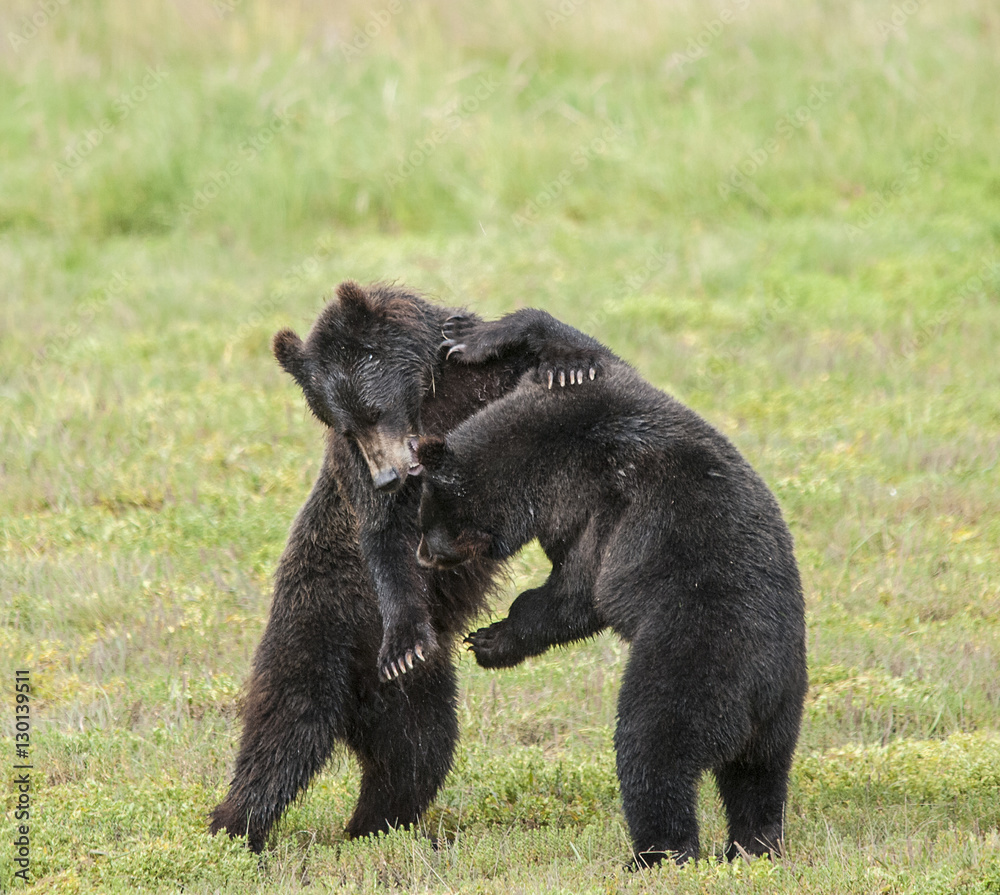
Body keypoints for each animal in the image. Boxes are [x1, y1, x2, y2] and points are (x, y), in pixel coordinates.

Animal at [210, 282, 610, 852]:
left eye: (373, 410)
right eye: (344, 426)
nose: (389, 476)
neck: (424, 400)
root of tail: (356, 700)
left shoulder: (484, 394)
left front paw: (566, 362)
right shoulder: (358, 475)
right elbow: (384, 539)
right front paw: (403, 638)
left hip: (413, 695)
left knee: (416, 755)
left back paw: (377, 827)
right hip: (314, 626)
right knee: (282, 731)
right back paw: (234, 830)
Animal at [414, 333, 808, 868]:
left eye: (429, 528)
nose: (420, 555)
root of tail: (760, 688)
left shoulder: (597, 506)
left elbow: (579, 593)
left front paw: (492, 640)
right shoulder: (605, 394)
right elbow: (589, 355)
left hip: (694, 663)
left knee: (653, 749)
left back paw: (657, 853)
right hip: (782, 716)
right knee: (758, 779)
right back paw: (753, 846)